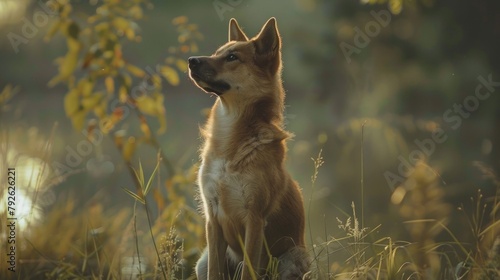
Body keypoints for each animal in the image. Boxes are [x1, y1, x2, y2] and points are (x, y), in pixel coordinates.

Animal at [189, 18, 310, 280]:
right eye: (217, 53)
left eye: (232, 57)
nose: (191, 60)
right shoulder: (213, 220)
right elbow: (215, 271)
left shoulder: (254, 219)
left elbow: (248, 271)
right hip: (202, 261)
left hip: (291, 258)